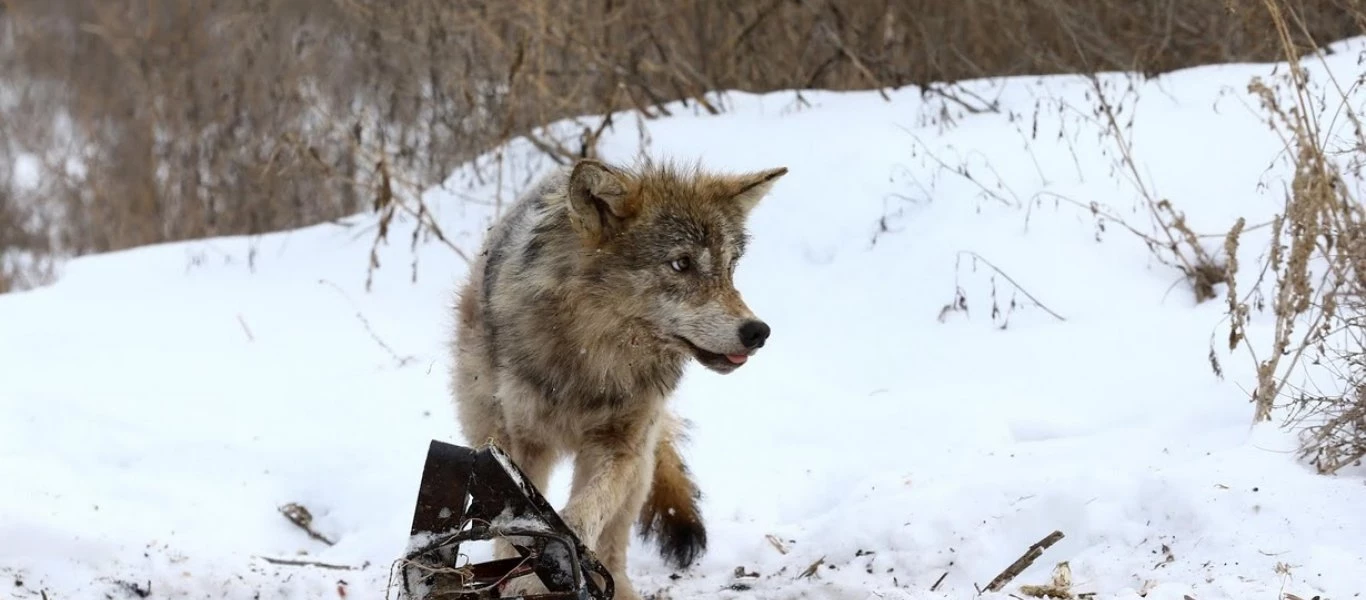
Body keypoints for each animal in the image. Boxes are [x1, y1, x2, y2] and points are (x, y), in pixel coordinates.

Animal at [450, 157, 786, 598]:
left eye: (730, 268)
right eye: (681, 264)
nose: (757, 332)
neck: (594, 360)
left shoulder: (620, 446)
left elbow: (584, 513)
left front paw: (555, 561)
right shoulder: (522, 446)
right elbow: (516, 524)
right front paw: (521, 576)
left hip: (640, 467)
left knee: (613, 545)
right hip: (487, 428)